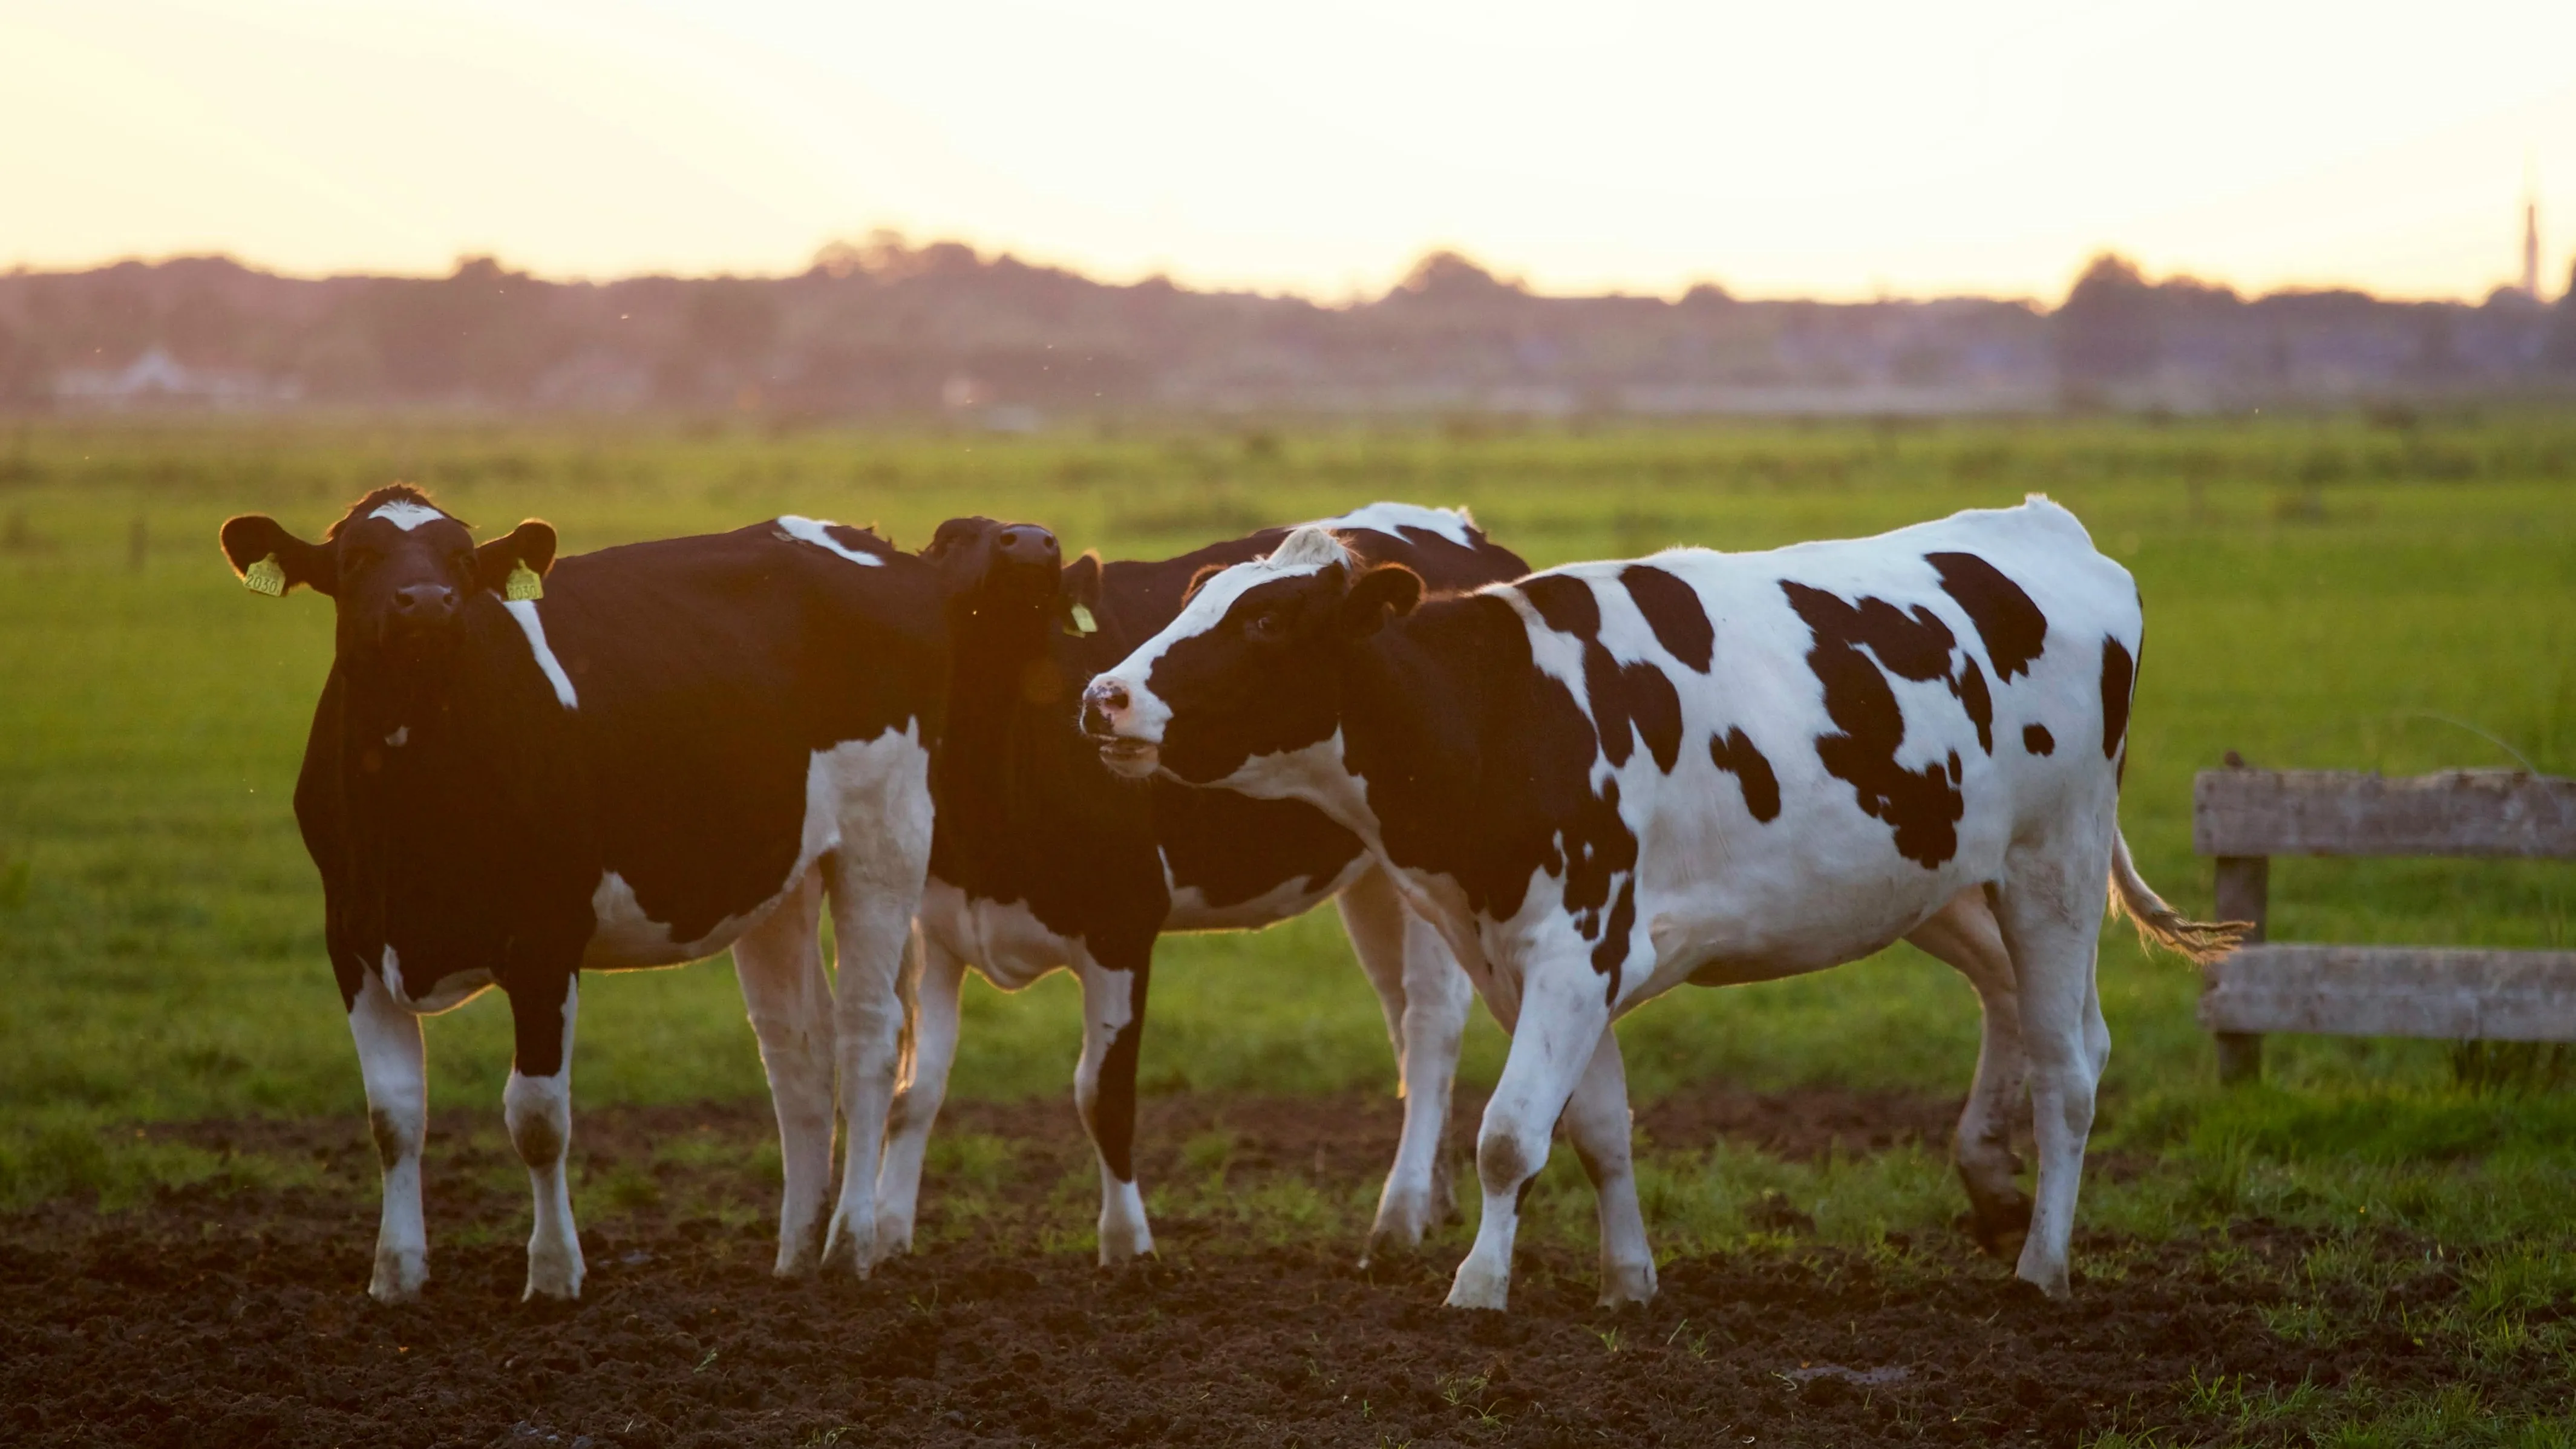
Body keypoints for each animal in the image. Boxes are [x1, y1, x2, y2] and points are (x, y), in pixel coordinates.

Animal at [214, 485, 1035, 1299]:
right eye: (357, 558)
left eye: (462, 560)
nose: (427, 603)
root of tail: (879, 547)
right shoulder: (351, 939)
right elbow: (393, 1114)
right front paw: (396, 1274)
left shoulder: (545, 939)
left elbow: (537, 1116)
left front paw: (553, 1273)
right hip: (781, 871)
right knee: (798, 1047)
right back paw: (796, 1251)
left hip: (884, 836)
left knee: (869, 1035)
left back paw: (850, 1243)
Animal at [875, 505, 1535, 1263]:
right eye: (950, 538)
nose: (1033, 542)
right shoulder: (939, 925)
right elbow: (915, 1089)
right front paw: (883, 1236)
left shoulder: (1122, 921)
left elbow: (1103, 1095)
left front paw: (1127, 1247)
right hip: (1376, 878)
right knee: (1400, 1015)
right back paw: (1433, 1198)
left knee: (1430, 1023)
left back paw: (1398, 1217)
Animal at [1076, 495, 2246, 1309]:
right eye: (1194, 600)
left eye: (1267, 622)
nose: (1102, 695)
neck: (1504, 711)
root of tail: (2045, 528)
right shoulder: (1535, 959)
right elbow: (1594, 1127)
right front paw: (1626, 1280)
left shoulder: (1574, 945)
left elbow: (1508, 1134)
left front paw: (1477, 1286)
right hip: (1943, 879)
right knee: (2027, 1011)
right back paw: (1993, 1186)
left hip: (2053, 864)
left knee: (2069, 1067)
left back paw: (2042, 1264)